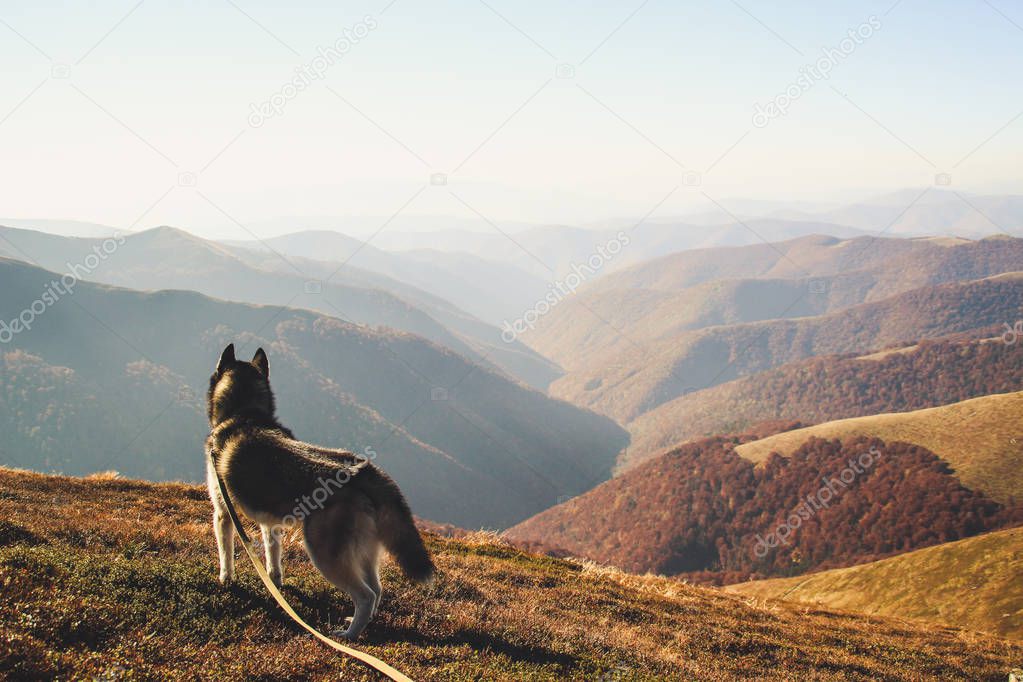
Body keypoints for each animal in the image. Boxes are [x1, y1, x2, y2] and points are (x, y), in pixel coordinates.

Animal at [205, 347, 433, 642]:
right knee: (377, 588)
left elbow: (226, 555)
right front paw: (275, 581)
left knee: (366, 595)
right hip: (364, 552)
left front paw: (226, 580)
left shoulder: (223, 514)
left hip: (323, 554)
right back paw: (362, 624)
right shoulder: (270, 523)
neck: (244, 413)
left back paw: (348, 635)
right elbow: (273, 555)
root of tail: (364, 472)